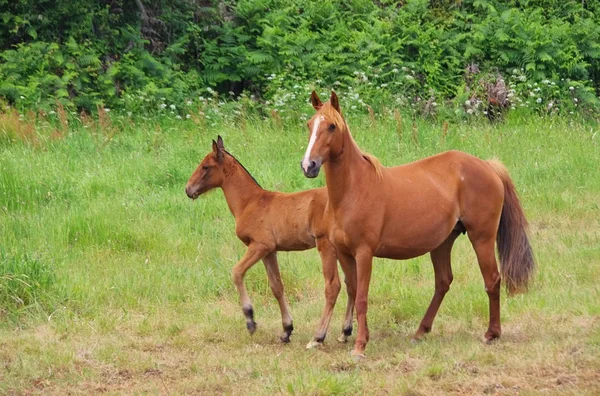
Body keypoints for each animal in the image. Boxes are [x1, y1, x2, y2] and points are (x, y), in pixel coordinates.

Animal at [188, 136, 354, 346]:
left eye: (205, 166)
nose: (188, 189)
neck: (249, 202)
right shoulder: (270, 251)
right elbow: (277, 287)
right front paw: (286, 330)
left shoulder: (260, 245)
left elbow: (237, 272)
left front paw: (250, 320)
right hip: (342, 249)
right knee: (352, 283)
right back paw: (345, 331)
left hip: (326, 246)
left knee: (333, 286)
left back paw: (319, 336)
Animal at [300, 90, 536, 358]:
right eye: (310, 125)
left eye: (331, 126)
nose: (308, 165)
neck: (354, 189)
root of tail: (488, 166)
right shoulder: (343, 252)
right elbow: (352, 290)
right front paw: (358, 336)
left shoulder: (364, 253)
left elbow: (361, 297)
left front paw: (359, 347)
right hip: (443, 242)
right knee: (443, 282)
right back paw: (421, 331)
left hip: (482, 238)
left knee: (492, 280)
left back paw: (491, 334)